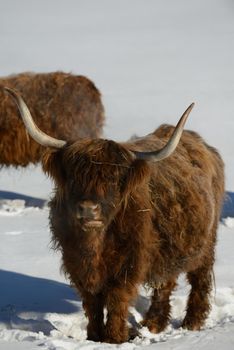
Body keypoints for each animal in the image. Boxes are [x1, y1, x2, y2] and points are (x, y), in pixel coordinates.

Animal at [5, 88, 225, 344]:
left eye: (113, 179)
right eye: (74, 177)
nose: (88, 209)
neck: (95, 245)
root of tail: (202, 145)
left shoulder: (128, 265)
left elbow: (117, 300)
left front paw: (115, 337)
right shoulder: (77, 265)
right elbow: (92, 303)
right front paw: (93, 336)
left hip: (206, 242)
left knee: (199, 279)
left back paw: (192, 323)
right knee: (165, 282)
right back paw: (153, 324)